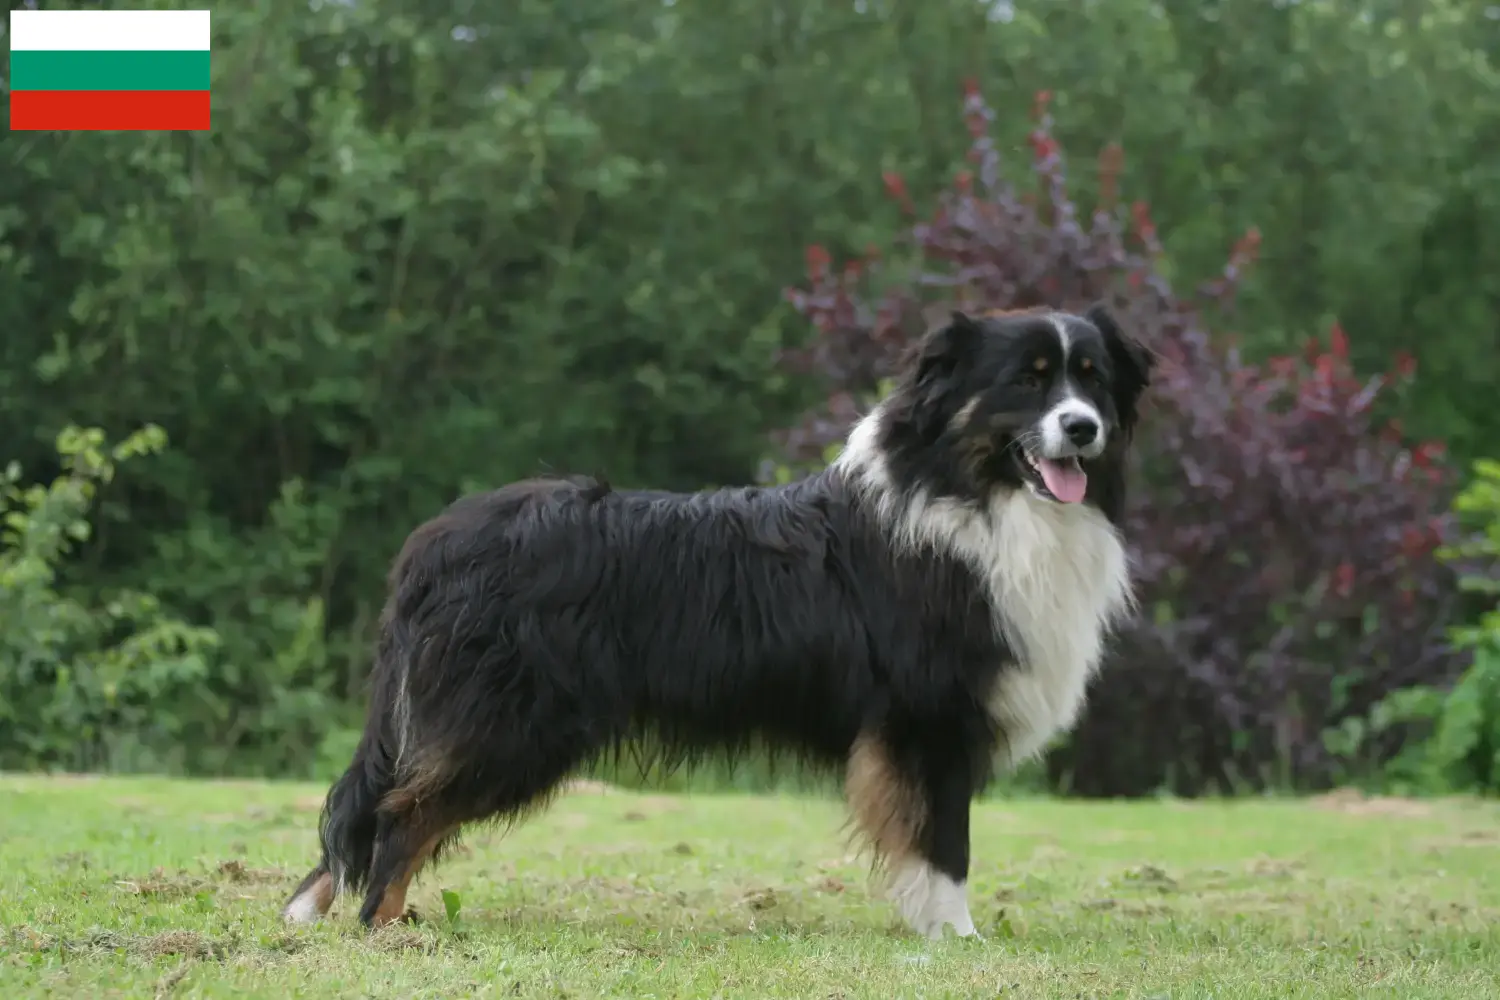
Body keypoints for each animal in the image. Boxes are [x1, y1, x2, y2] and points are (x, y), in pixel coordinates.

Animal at [286, 305, 1152, 941]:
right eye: (1026, 382)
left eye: (1094, 379)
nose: (1082, 428)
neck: (970, 497)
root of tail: (435, 542)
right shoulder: (926, 719)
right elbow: (945, 845)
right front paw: (956, 939)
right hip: (510, 723)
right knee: (400, 815)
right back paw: (384, 930)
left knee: (381, 809)